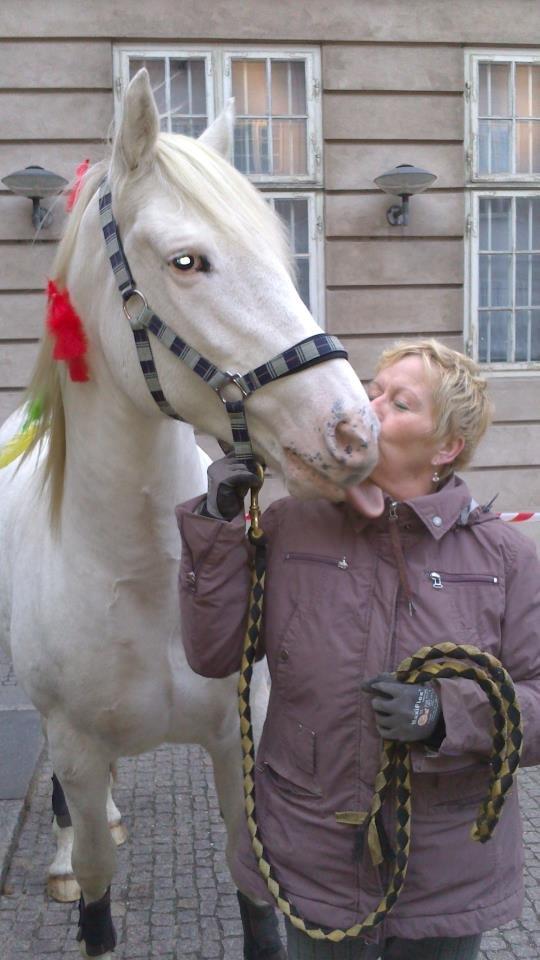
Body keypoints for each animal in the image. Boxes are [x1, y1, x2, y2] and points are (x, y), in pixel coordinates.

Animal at [0, 71, 380, 956]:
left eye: (278, 249)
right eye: (187, 261)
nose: (352, 430)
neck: (141, 576)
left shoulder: (239, 747)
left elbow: (258, 898)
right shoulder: (76, 747)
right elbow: (97, 889)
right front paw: (79, 870)